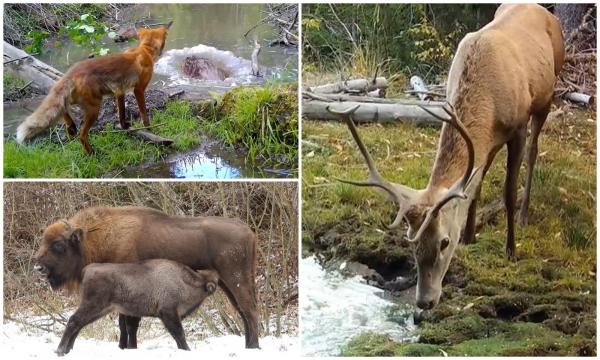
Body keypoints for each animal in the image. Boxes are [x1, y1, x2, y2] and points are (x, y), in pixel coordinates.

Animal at [17, 21, 171, 153]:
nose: (162, 53)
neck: (144, 50)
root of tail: (72, 72)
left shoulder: (119, 91)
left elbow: (121, 113)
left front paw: (124, 126)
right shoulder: (138, 90)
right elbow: (143, 113)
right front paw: (149, 128)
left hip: (77, 101)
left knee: (64, 111)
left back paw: (71, 128)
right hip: (94, 109)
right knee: (82, 135)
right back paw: (91, 153)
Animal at [56, 260, 218, 356]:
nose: (214, 288)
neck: (184, 282)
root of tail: (87, 270)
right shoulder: (168, 313)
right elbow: (179, 333)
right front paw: (187, 350)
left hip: (100, 310)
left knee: (79, 324)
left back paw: (68, 350)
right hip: (93, 306)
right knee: (73, 321)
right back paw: (60, 350)